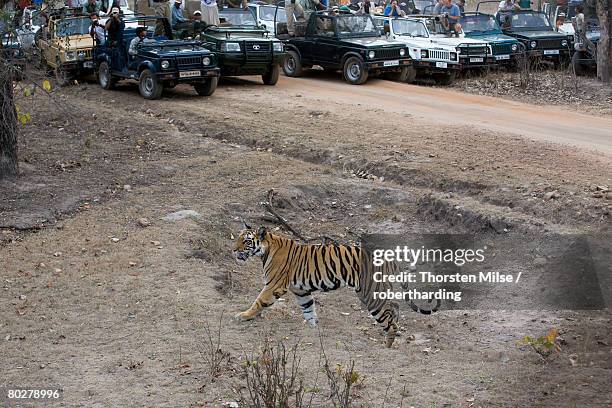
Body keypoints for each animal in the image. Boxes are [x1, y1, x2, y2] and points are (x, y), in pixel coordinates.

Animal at [233, 223, 402, 348]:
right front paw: (313, 329)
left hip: (372, 295)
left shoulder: (274, 285)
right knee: (393, 309)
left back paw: (387, 346)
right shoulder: (301, 291)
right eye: (238, 238)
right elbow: (308, 309)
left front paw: (243, 315)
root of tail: (388, 259)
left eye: (247, 241)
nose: (233, 250)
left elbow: (259, 301)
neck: (266, 249)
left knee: (390, 322)